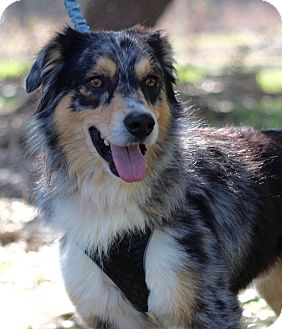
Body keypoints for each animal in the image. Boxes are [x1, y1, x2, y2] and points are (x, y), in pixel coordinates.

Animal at [25, 26, 282, 328]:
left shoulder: (207, 304)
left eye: (150, 81)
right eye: (95, 81)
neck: (112, 197)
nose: (142, 123)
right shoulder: (106, 313)